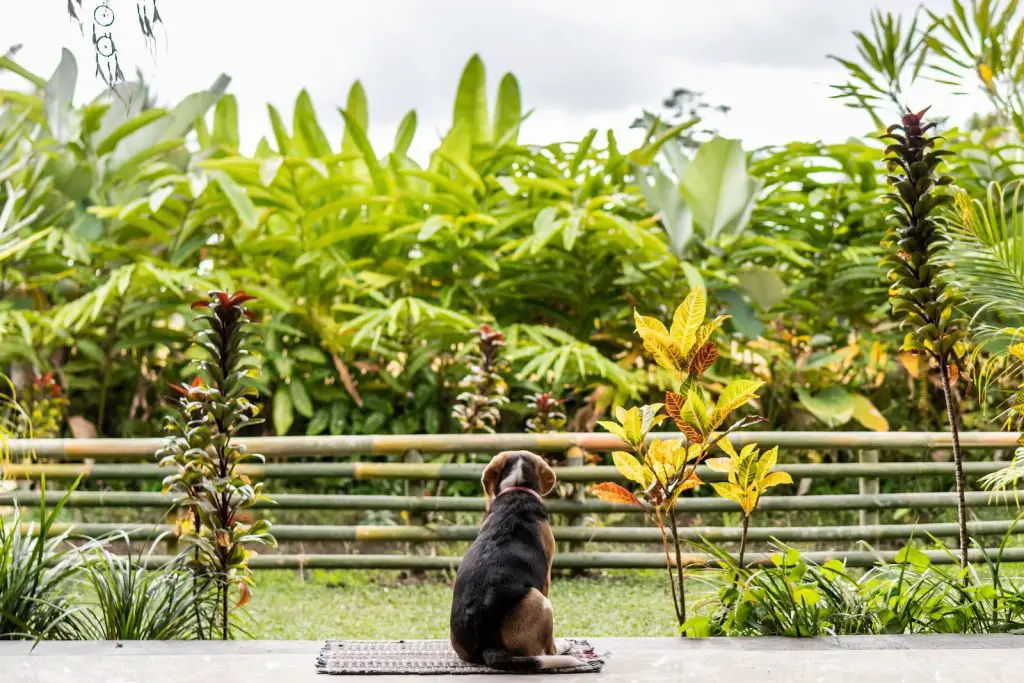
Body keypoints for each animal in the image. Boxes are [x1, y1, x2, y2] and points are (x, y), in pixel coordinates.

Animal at [450, 450, 585, 671]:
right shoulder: (546, 579)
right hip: (541, 601)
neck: (517, 489)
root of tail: (487, 648)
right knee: (548, 650)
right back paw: (563, 647)